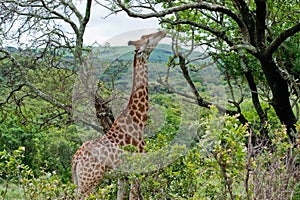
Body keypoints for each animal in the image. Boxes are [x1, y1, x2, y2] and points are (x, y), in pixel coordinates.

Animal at [72, 30, 168, 199]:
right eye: (148, 39)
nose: (163, 31)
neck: (139, 121)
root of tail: (76, 160)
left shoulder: (122, 176)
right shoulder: (137, 171)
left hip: (79, 182)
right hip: (89, 182)